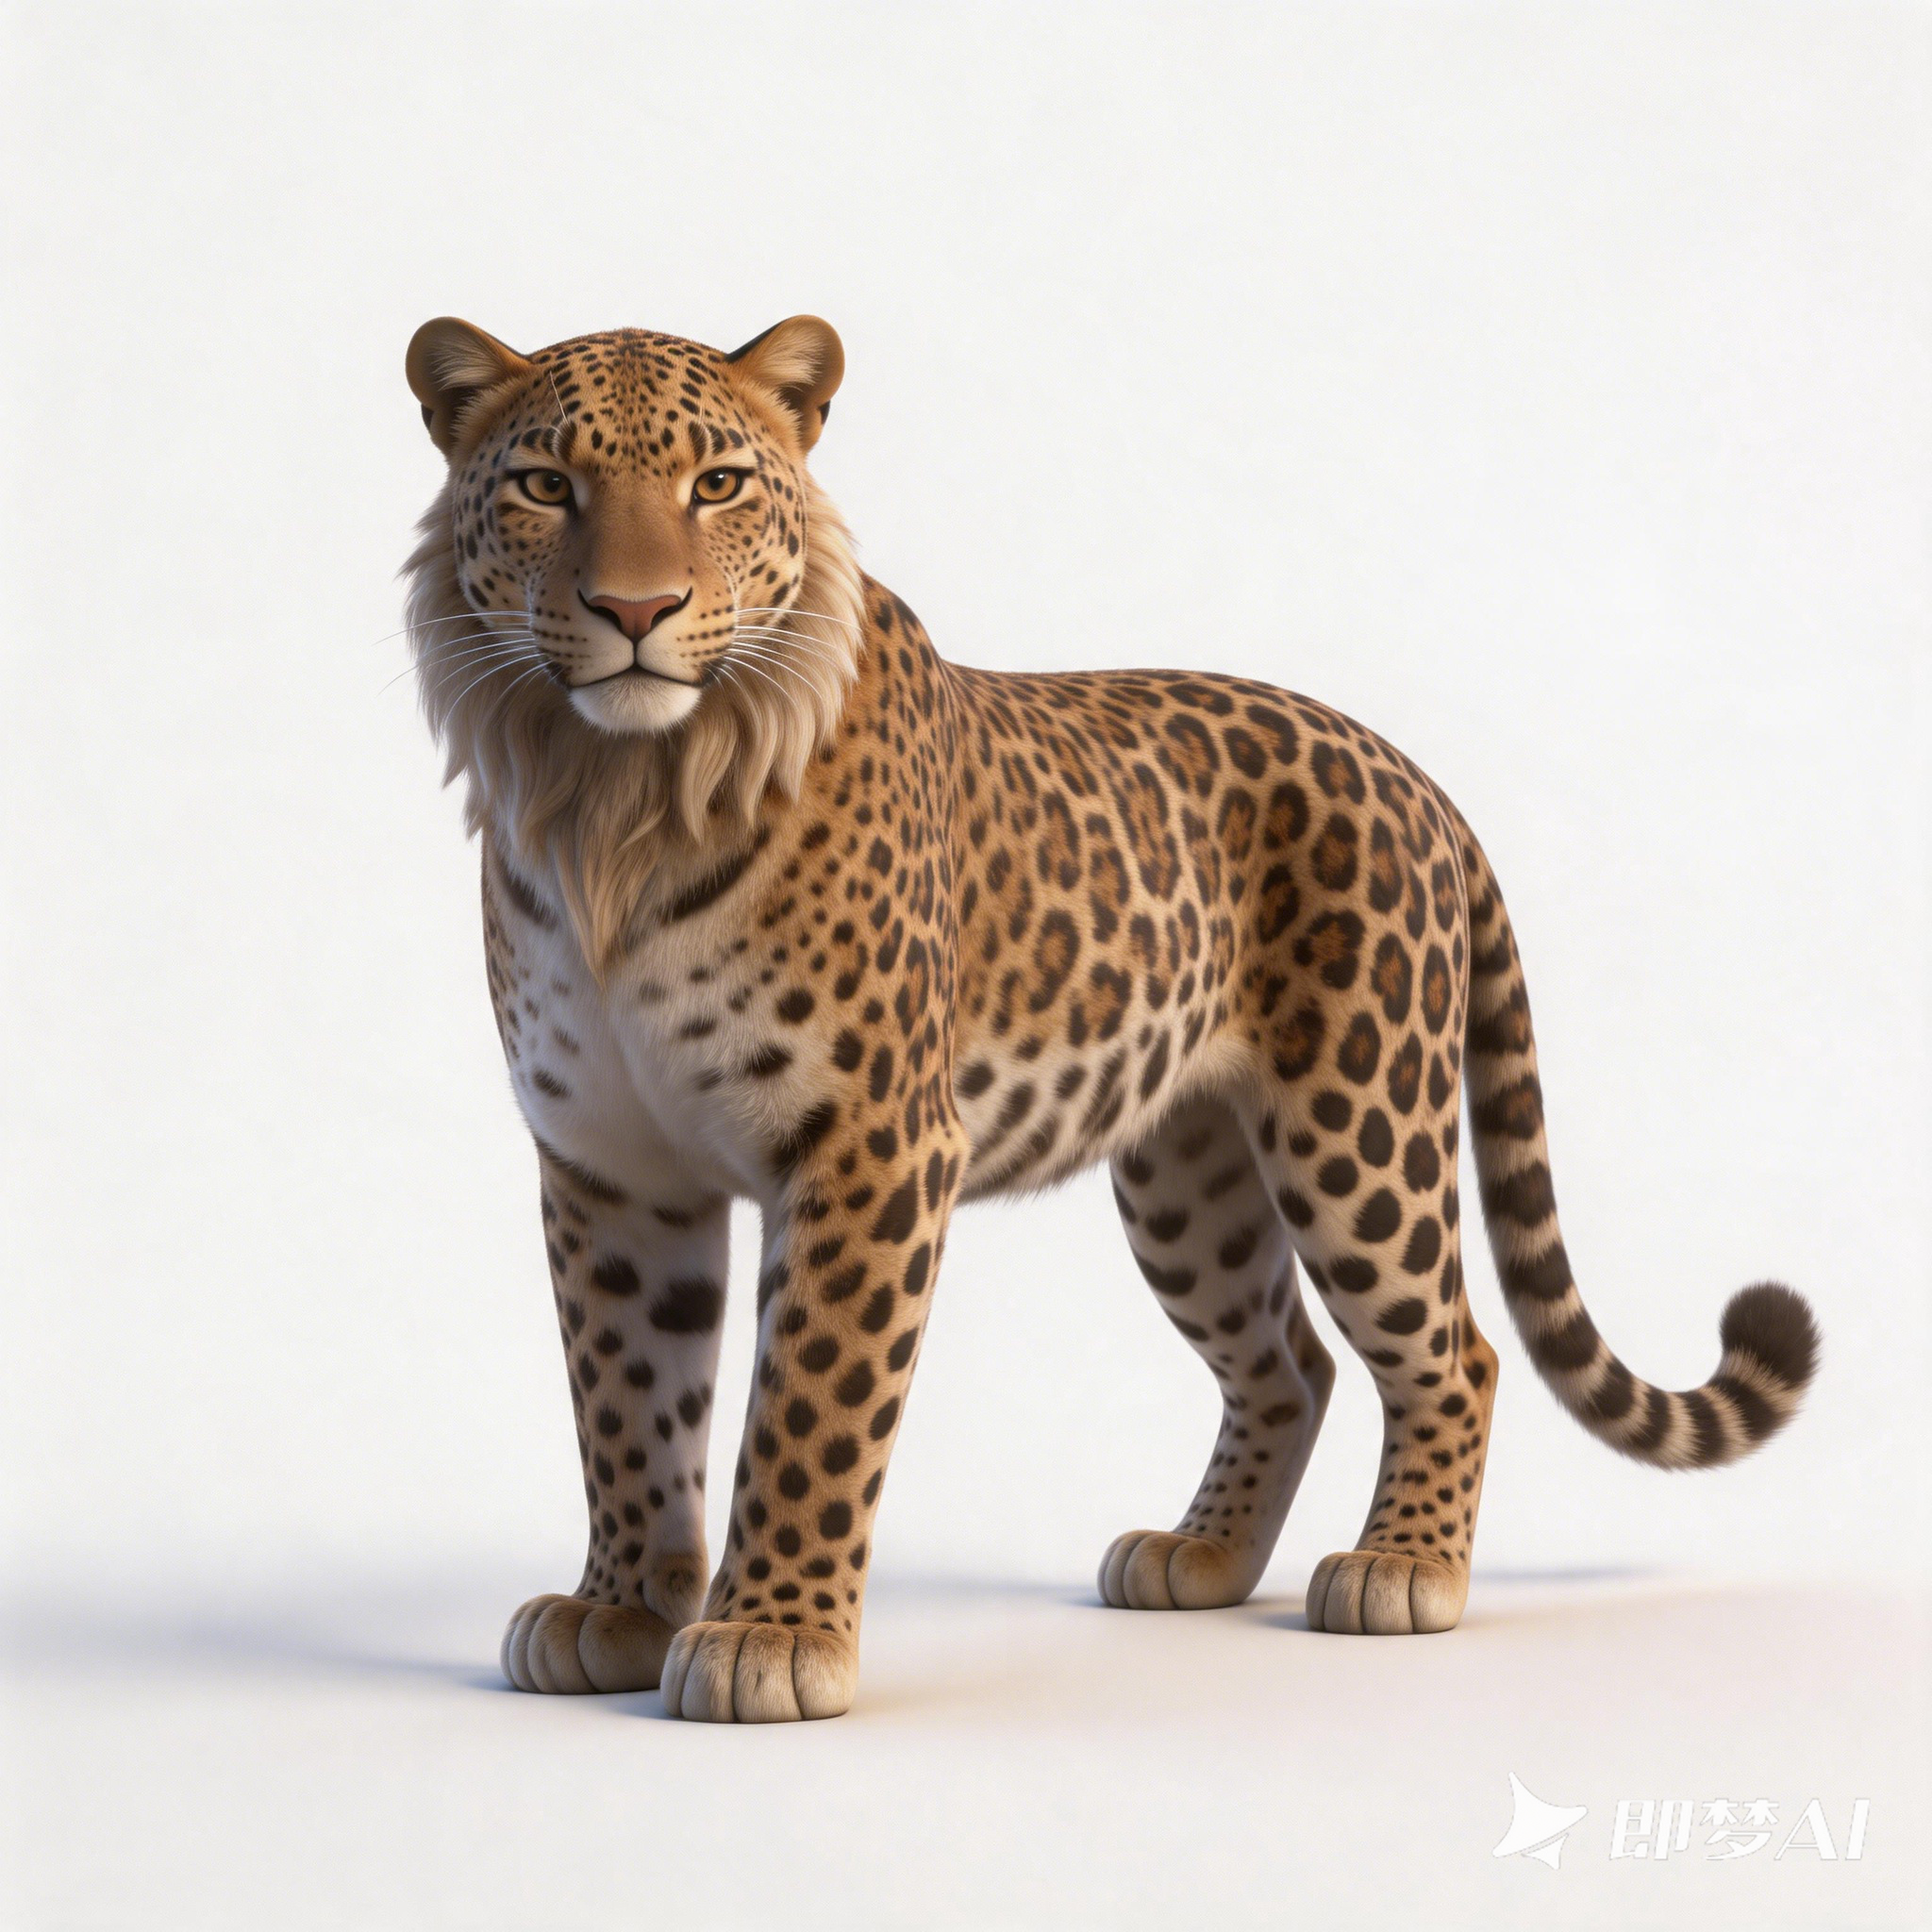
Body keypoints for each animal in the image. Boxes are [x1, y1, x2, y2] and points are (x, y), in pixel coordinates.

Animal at [401, 312, 1819, 1722]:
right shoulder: (609, 1160)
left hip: (1358, 1128)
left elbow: (810, 1399)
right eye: (547, 487)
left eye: (718, 484)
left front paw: (770, 1636)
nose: (636, 610)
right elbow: (627, 1398)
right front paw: (618, 1610)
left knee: (1452, 1347)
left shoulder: (870, 1144)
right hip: (1187, 1175)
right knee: (1288, 1359)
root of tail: (1410, 773)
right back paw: (1201, 1554)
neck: (613, 795)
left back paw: (1401, 1566)